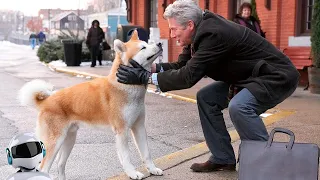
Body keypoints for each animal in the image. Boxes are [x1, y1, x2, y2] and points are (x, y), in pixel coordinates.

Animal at [18, 30, 162, 179]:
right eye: (143, 47)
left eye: (146, 43)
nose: (159, 43)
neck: (125, 86)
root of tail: (46, 101)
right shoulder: (122, 131)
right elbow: (127, 158)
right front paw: (132, 173)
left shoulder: (139, 126)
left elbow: (146, 153)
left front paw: (152, 169)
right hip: (55, 142)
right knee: (44, 168)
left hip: (69, 139)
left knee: (60, 164)